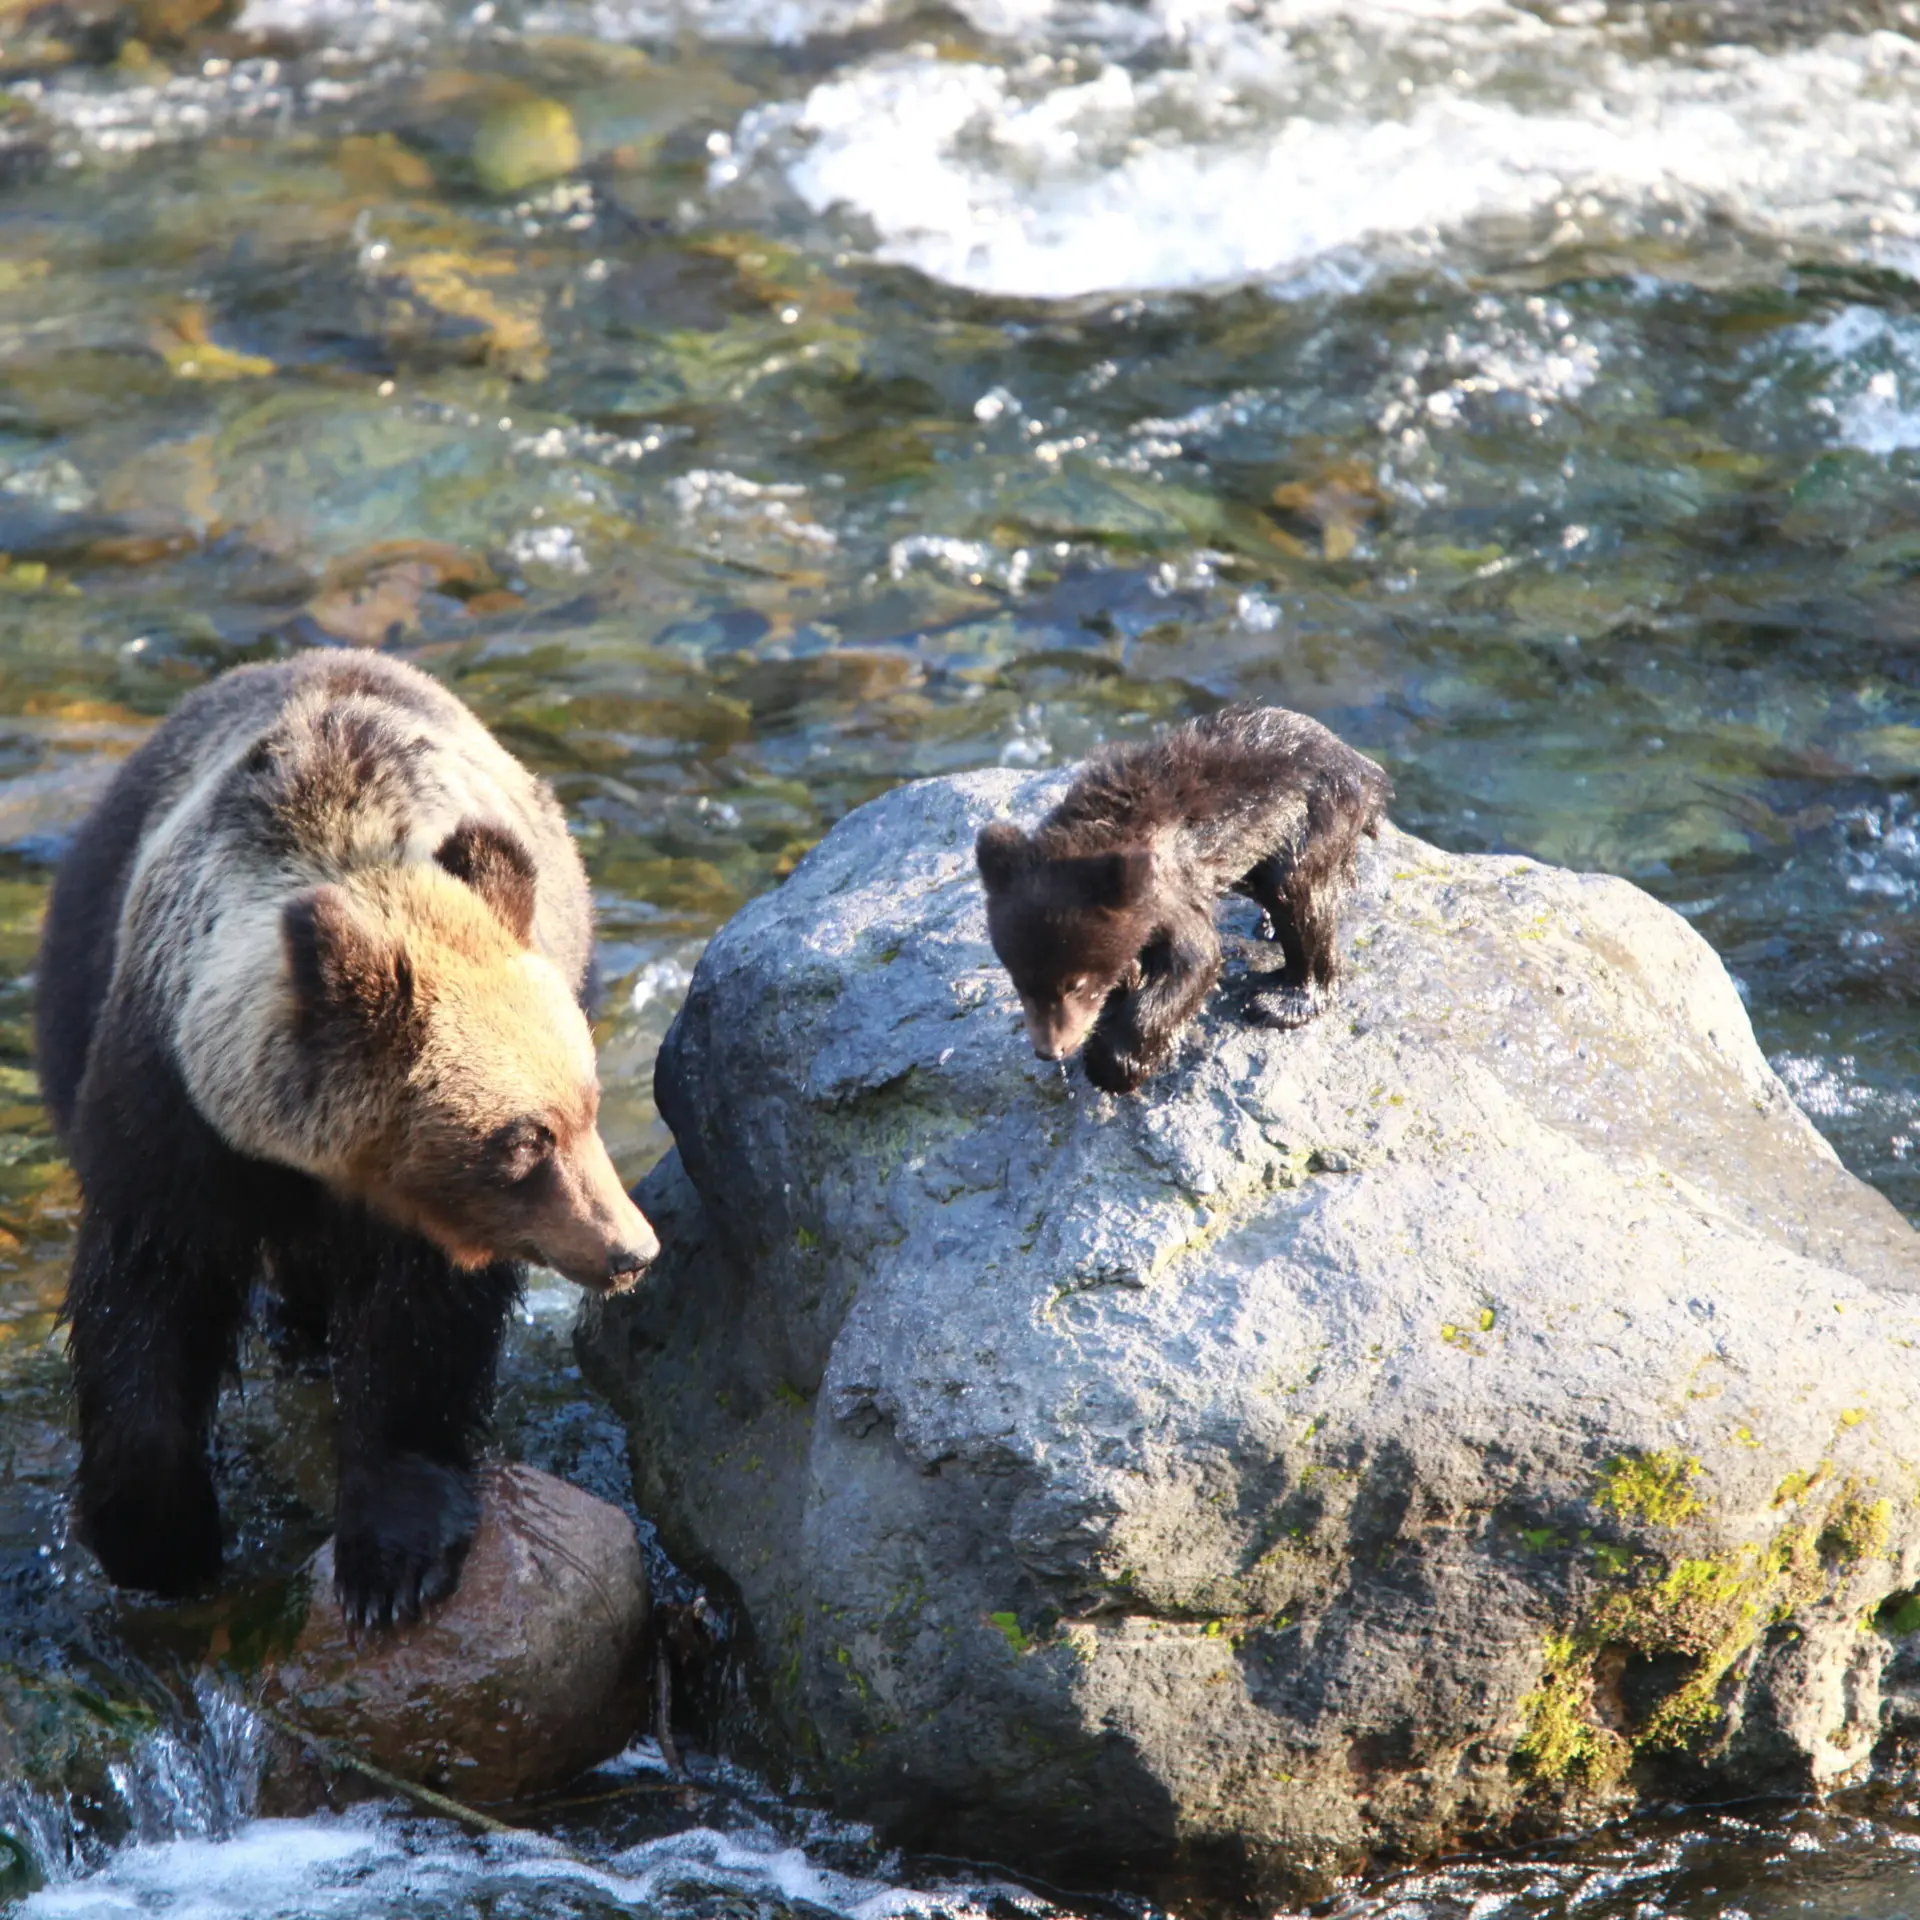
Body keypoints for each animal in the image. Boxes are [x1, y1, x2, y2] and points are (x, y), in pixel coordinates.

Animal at [34, 649, 659, 1627]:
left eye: (589, 1106)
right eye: (527, 1139)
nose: (630, 1249)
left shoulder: (421, 1218)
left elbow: (419, 1335)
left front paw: (391, 1560)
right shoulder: (167, 1112)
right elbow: (142, 1300)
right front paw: (157, 1535)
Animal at [974, 704, 1391, 1095]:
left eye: (1075, 984)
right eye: (1019, 981)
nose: (1049, 1050)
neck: (1098, 834)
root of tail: (1363, 766)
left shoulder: (1172, 890)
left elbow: (1193, 960)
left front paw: (1114, 1064)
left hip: (1311, 819)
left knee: (1301, 899)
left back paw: (1282, 999)